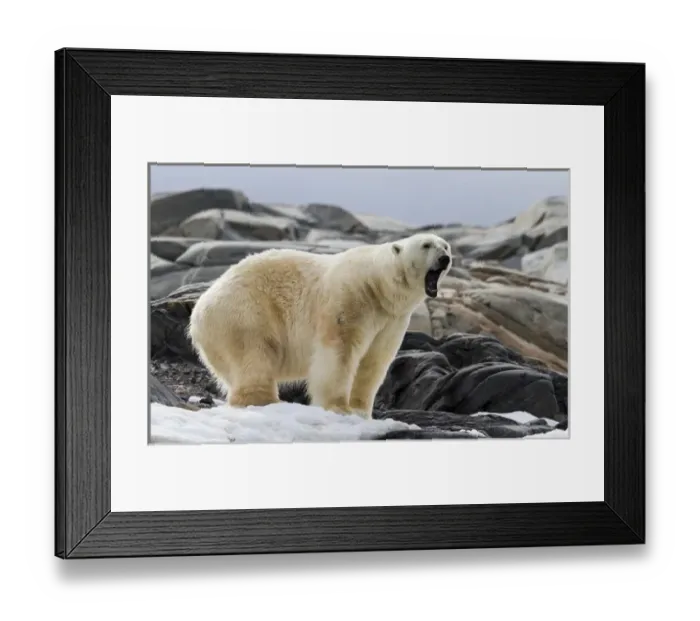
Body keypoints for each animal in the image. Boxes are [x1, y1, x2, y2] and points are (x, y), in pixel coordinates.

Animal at [187, 232, 452, 419]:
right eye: (426, 245)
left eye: (445, 245)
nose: (445, 258)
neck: (377, 285)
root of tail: (199, 310)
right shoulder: (350, 298)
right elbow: (339, 352)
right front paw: (338, 407)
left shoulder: (391, 319)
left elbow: (374, 360)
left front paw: (361, 411)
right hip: (246, 311)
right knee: (254, 353)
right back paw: (264, 400)